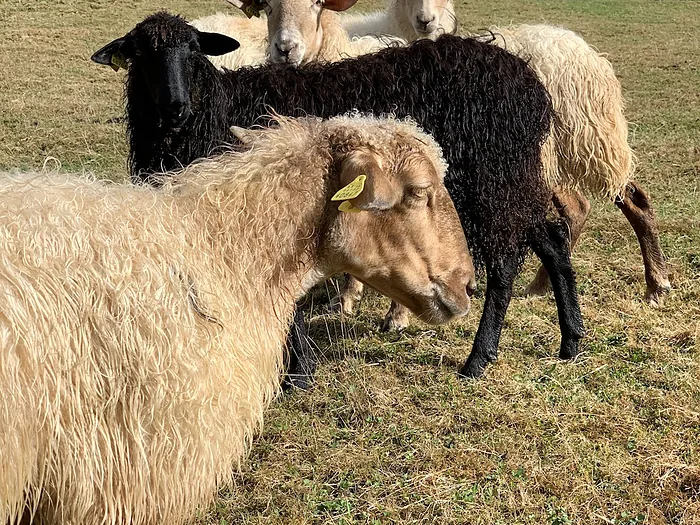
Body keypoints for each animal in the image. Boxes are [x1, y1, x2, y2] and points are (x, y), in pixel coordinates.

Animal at [91, 12, 585, 378]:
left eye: (194, 51)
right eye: (140, 54)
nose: (176, 106)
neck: (216, 112)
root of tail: (527, 82)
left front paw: (298, 372)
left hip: (491, 181)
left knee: (505, 262)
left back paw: (479, 358)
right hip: (512, 179)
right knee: (552, 238)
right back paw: (571, 341)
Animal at [260, 0, 670, 304]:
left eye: (316, 4)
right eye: (267, 7)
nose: (285, 49)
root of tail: (584, 50)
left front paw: (352, 297)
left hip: (588, 142)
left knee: (631, 200)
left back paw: (656, 283)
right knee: (577, 208)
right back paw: (543, 285)